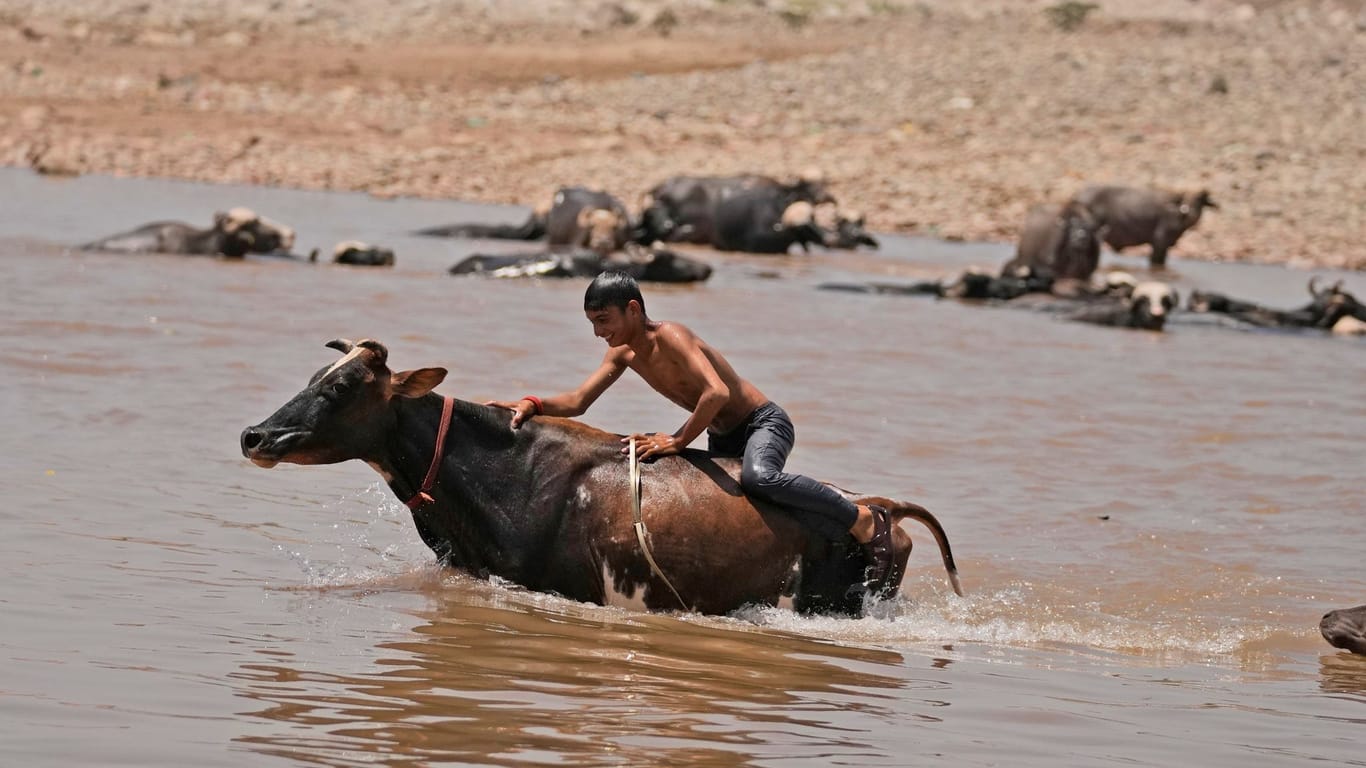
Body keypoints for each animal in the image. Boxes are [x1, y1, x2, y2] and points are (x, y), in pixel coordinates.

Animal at [1076, 184, 1218, 267]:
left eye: (1200, 200)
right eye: (1185, 198)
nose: (1188, 209)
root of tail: (1078, 195)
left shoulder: (1165, 246)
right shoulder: (1159, 243)